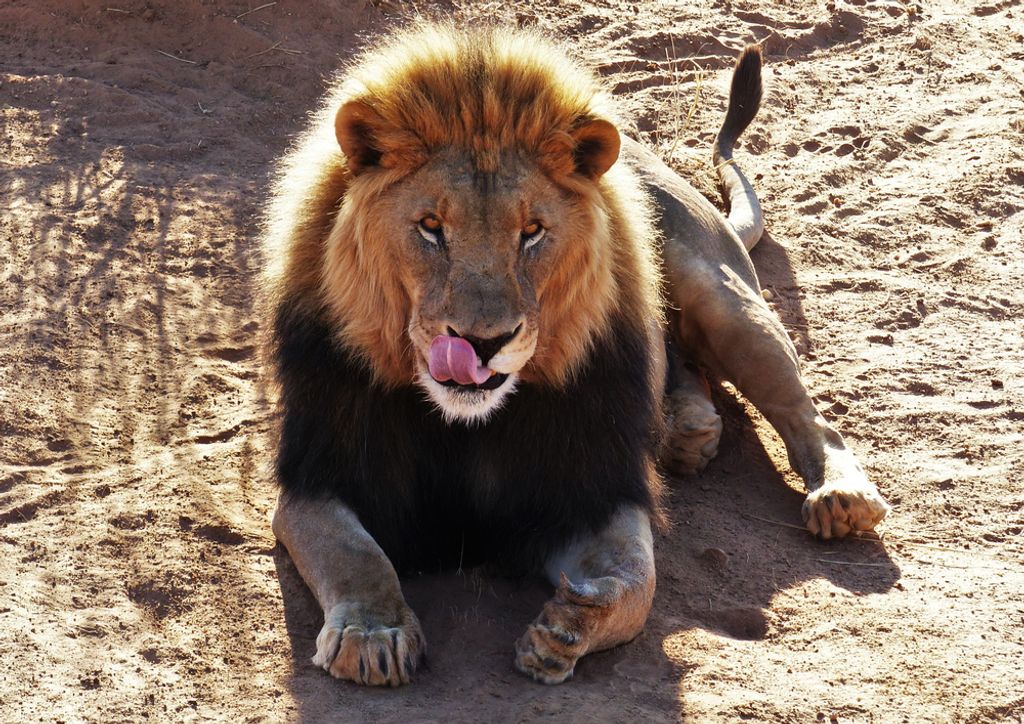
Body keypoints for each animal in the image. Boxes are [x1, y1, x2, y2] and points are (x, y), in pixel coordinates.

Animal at [262, 24, 890, 687]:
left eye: (532, 232)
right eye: (431, 226)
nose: (482, 342)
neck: (464, 425)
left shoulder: (593, 488)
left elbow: (637, 579)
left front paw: (569, 626)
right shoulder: (317, 479)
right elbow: (354, 554)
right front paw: (372, 635)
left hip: (724, 299)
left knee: (808, 415)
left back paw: (839, 496)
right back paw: (687, 430)